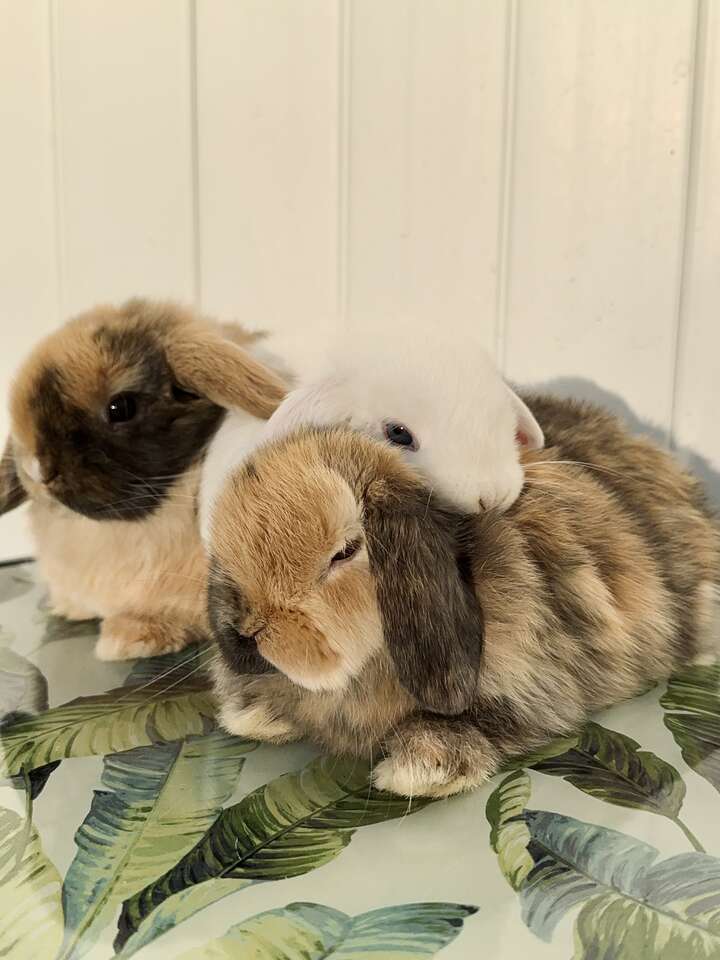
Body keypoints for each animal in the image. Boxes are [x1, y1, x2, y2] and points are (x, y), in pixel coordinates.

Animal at [205, 394, 720, 800]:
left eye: (345, 552)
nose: (246, 632)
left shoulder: (536, 683)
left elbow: (487, 721)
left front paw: (420, 768)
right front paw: (252, 712)